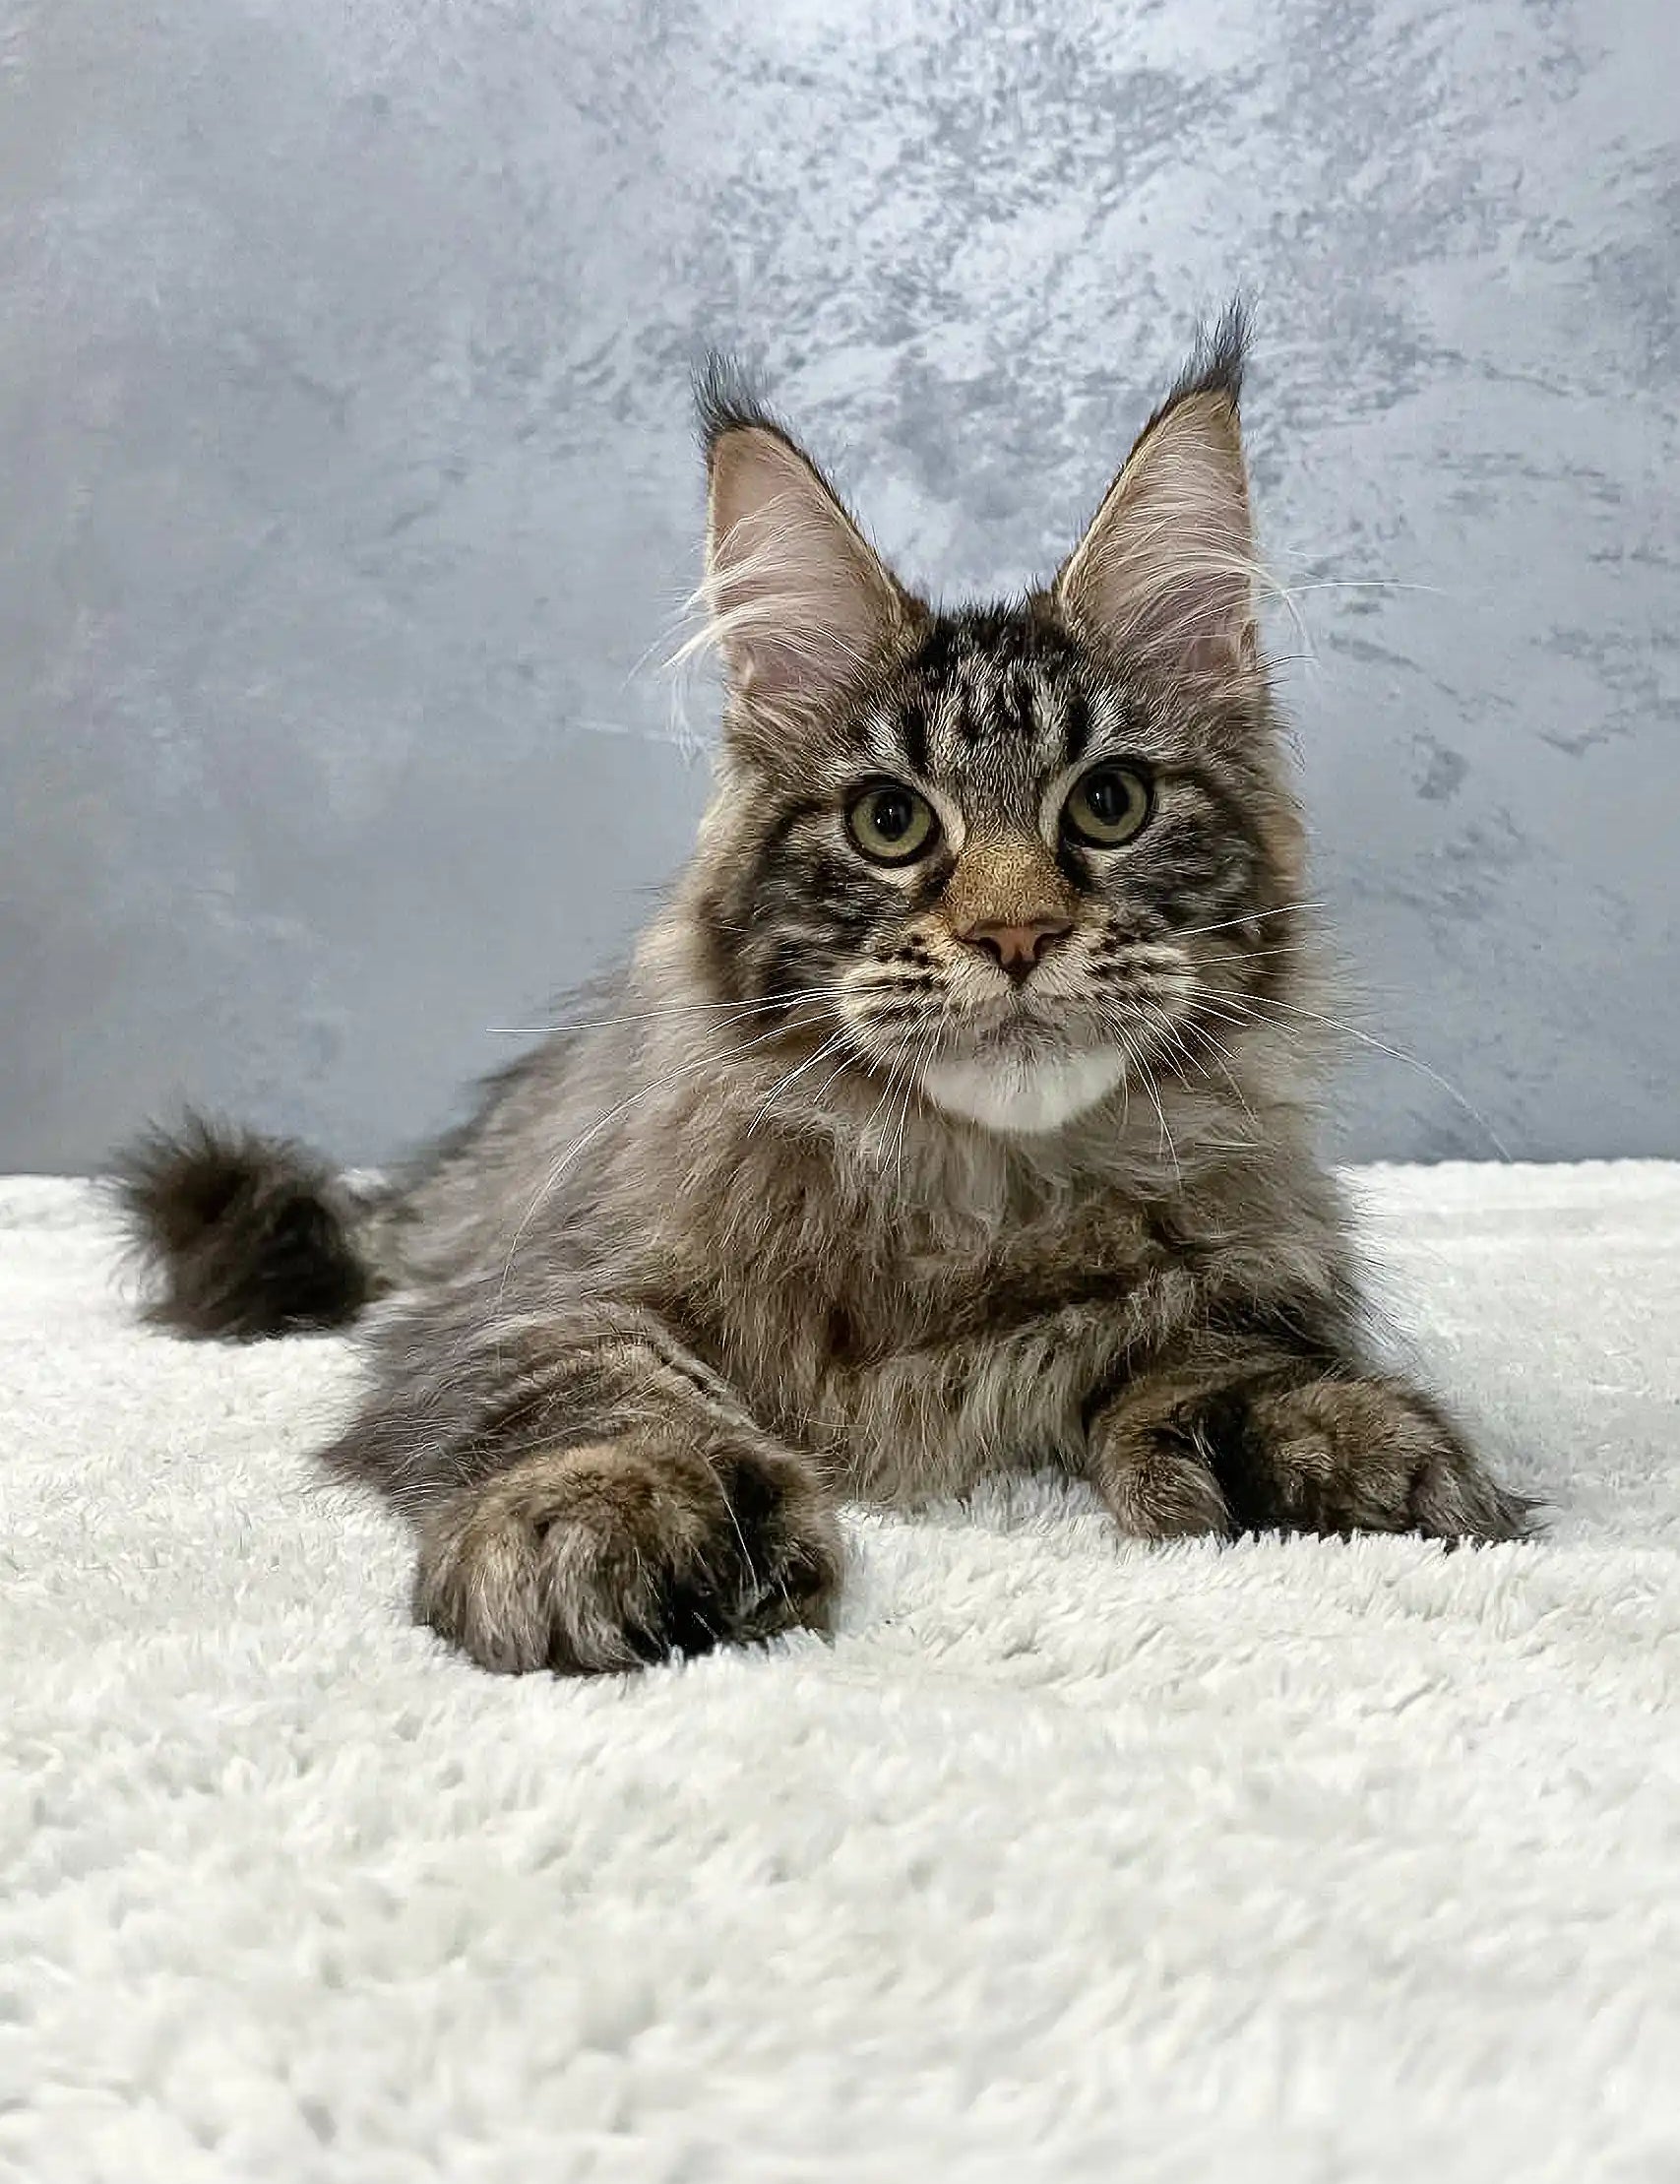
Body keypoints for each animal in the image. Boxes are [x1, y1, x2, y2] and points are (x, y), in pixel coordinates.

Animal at [121, 307, 1537, 1668]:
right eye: (890, 823)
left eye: (1110, 803)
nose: (1016, 931)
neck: (981, 1198)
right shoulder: (530, 1296)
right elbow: (595, 1386)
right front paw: (623, 1502)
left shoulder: (1253, 1265)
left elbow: (1220, 1351)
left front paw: (1332, 1441)